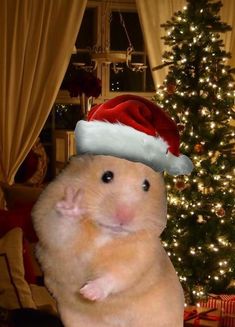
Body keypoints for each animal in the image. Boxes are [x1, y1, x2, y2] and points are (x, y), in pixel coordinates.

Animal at [32, 155, 185, 326]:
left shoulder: (139, 256)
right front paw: (72, 204)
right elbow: (62, 228)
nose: (124, 217)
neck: (105, 234)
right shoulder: (50, 228)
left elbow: (118, 275)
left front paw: (88, 292)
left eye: (147, 185)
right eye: (107, 176)